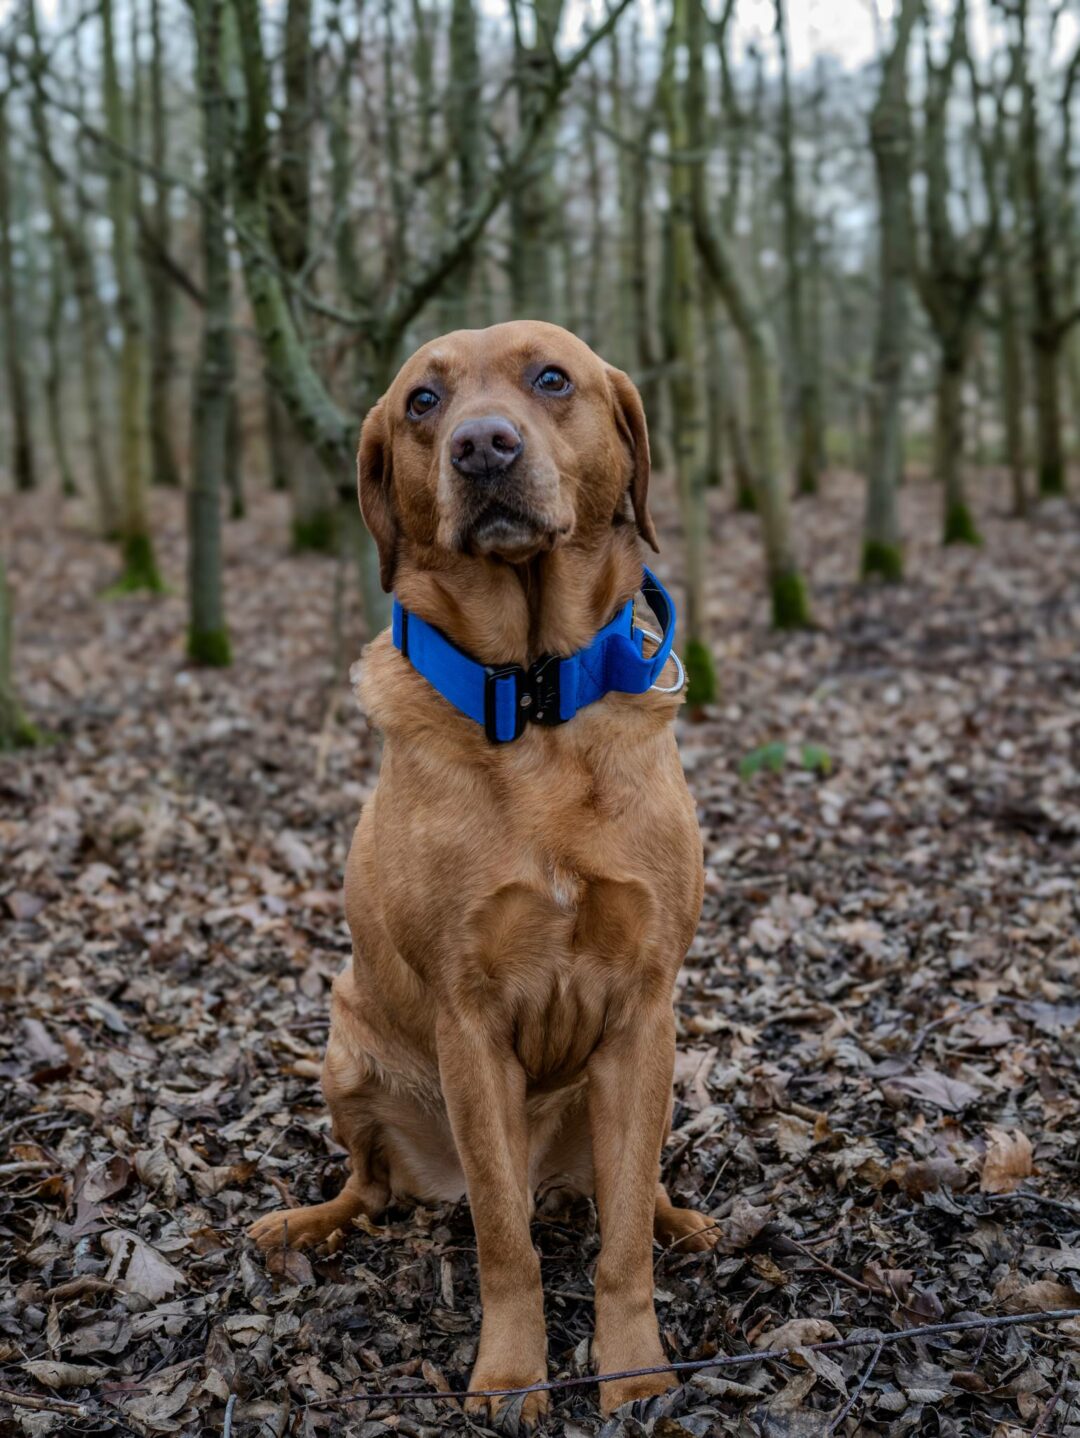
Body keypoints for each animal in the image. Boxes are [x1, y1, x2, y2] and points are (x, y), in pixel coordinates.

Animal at [248, 317, 713, 1414]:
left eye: (552, 378)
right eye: (424, 400)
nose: (482, 448)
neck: (533, 697)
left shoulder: (643, 1013)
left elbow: (621, 1243)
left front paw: (635, 1370)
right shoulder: (470, 1024)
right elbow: (505, 1237)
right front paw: (509, 1374)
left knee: (634, 1190)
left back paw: (686, 1218)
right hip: (347, 1052)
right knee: (374, 1186)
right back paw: (307, 1223)